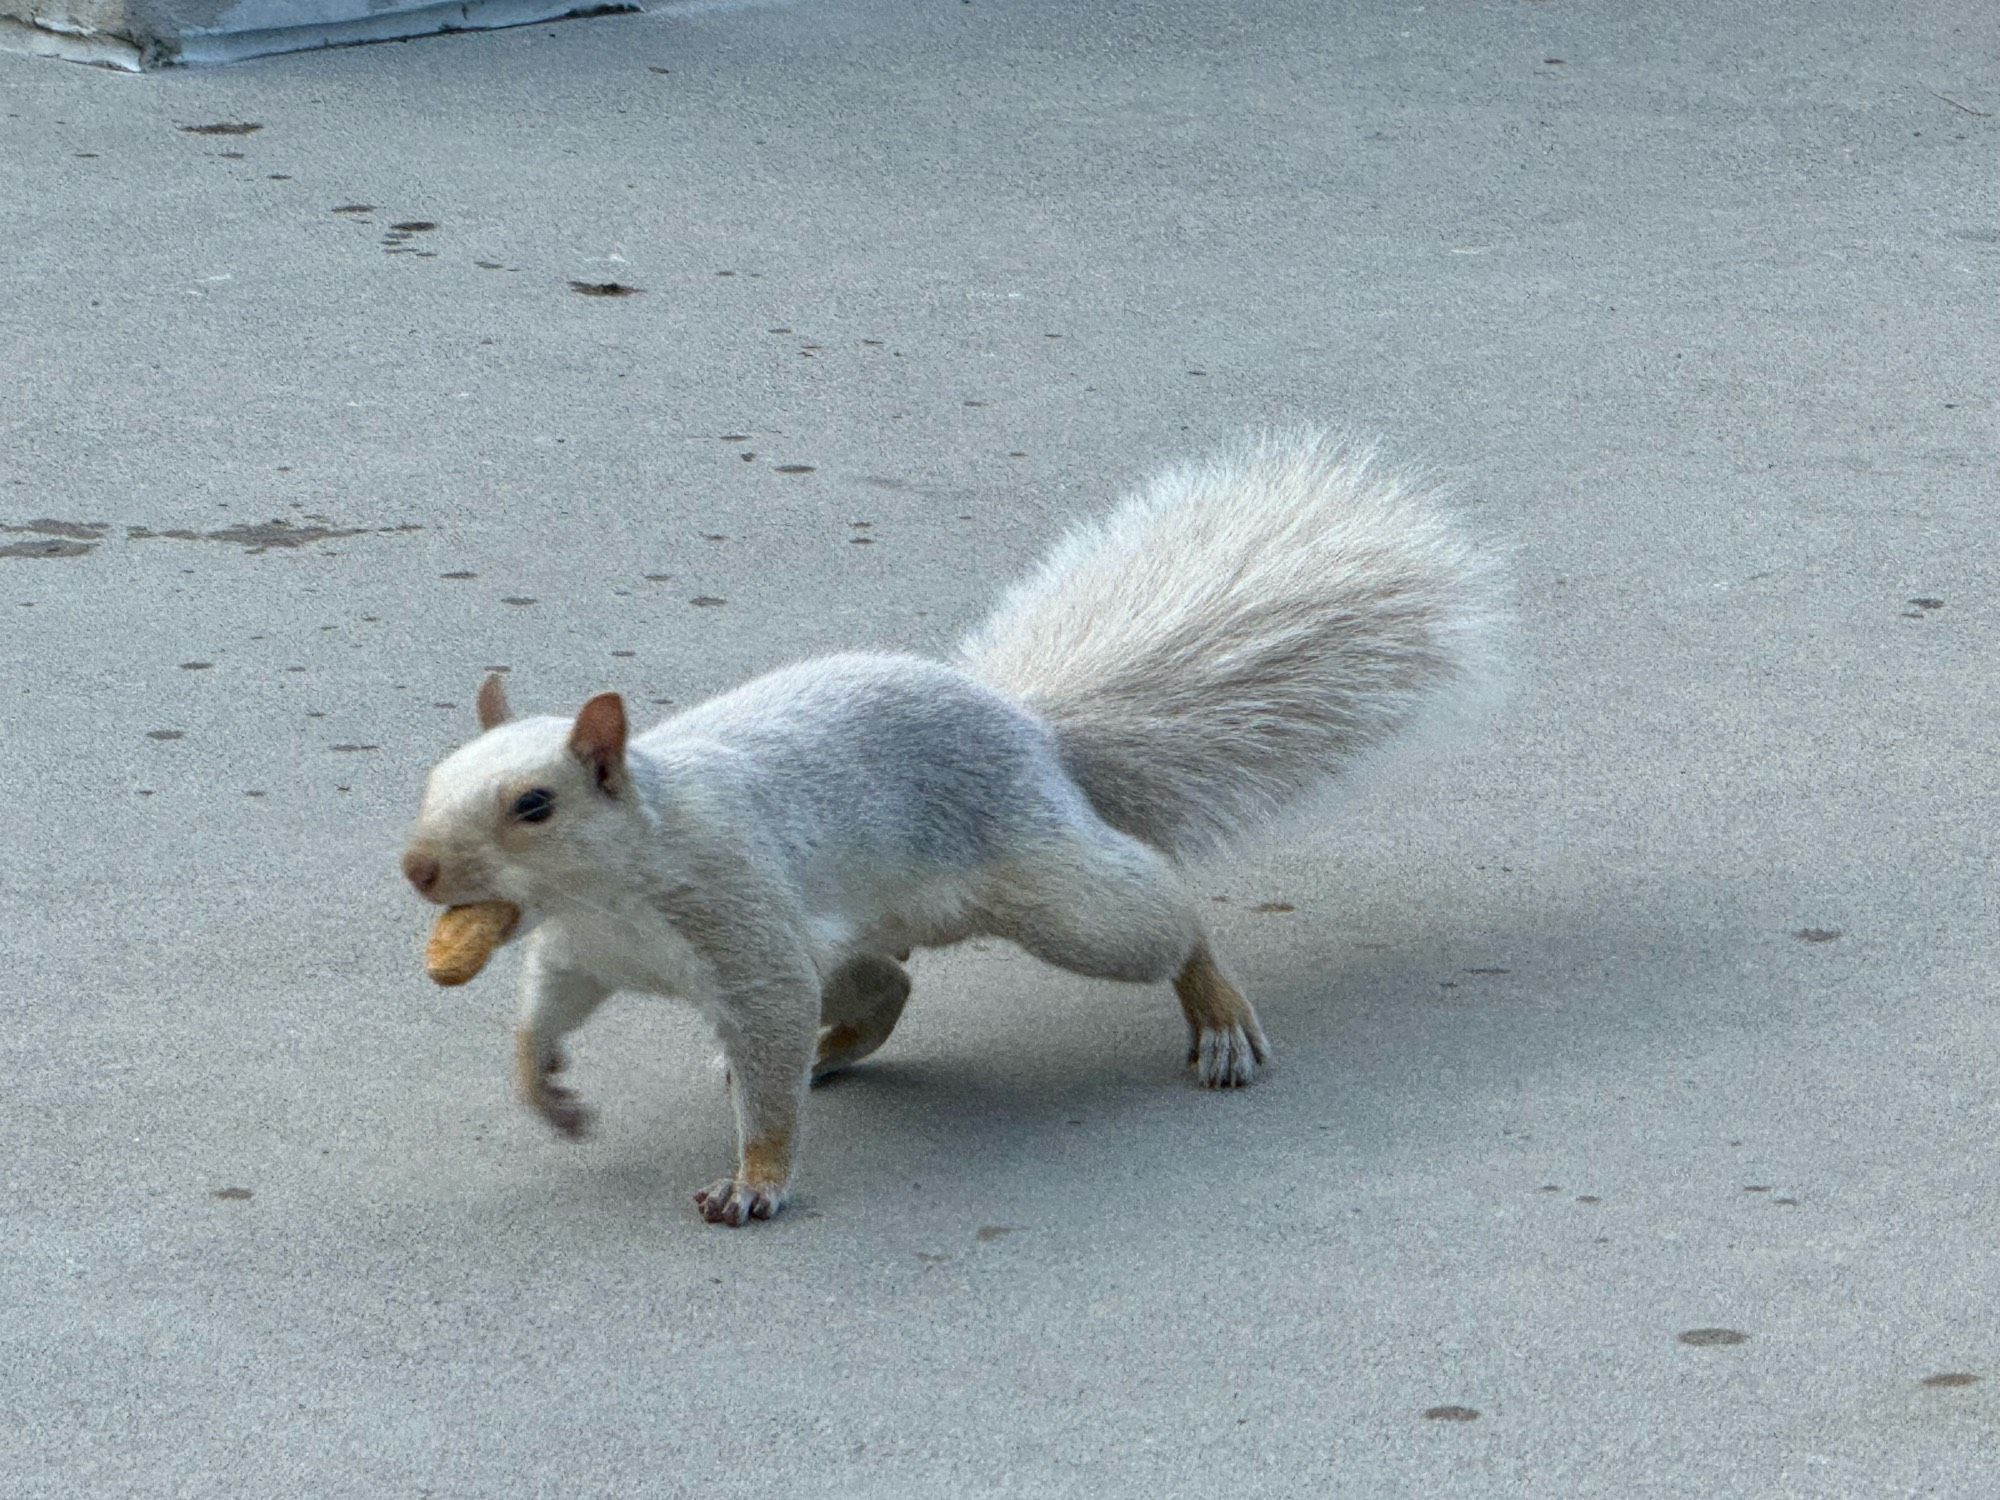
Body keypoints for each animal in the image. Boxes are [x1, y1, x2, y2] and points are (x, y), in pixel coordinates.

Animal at [402, 428, 1504, 1224]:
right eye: (431, 780)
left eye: (533, 804)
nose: (418, 869)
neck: (609, 891)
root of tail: (1032, 729)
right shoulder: (583, 953)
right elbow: (548, 1010)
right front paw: (542, 1087)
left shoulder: (744, 927)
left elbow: (768, 1037)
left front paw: (755, 1179)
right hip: (860, 932)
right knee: (886, 989)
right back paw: (830, 1050)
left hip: (1056, 901)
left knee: (1160, 917)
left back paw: (1218, 1013)